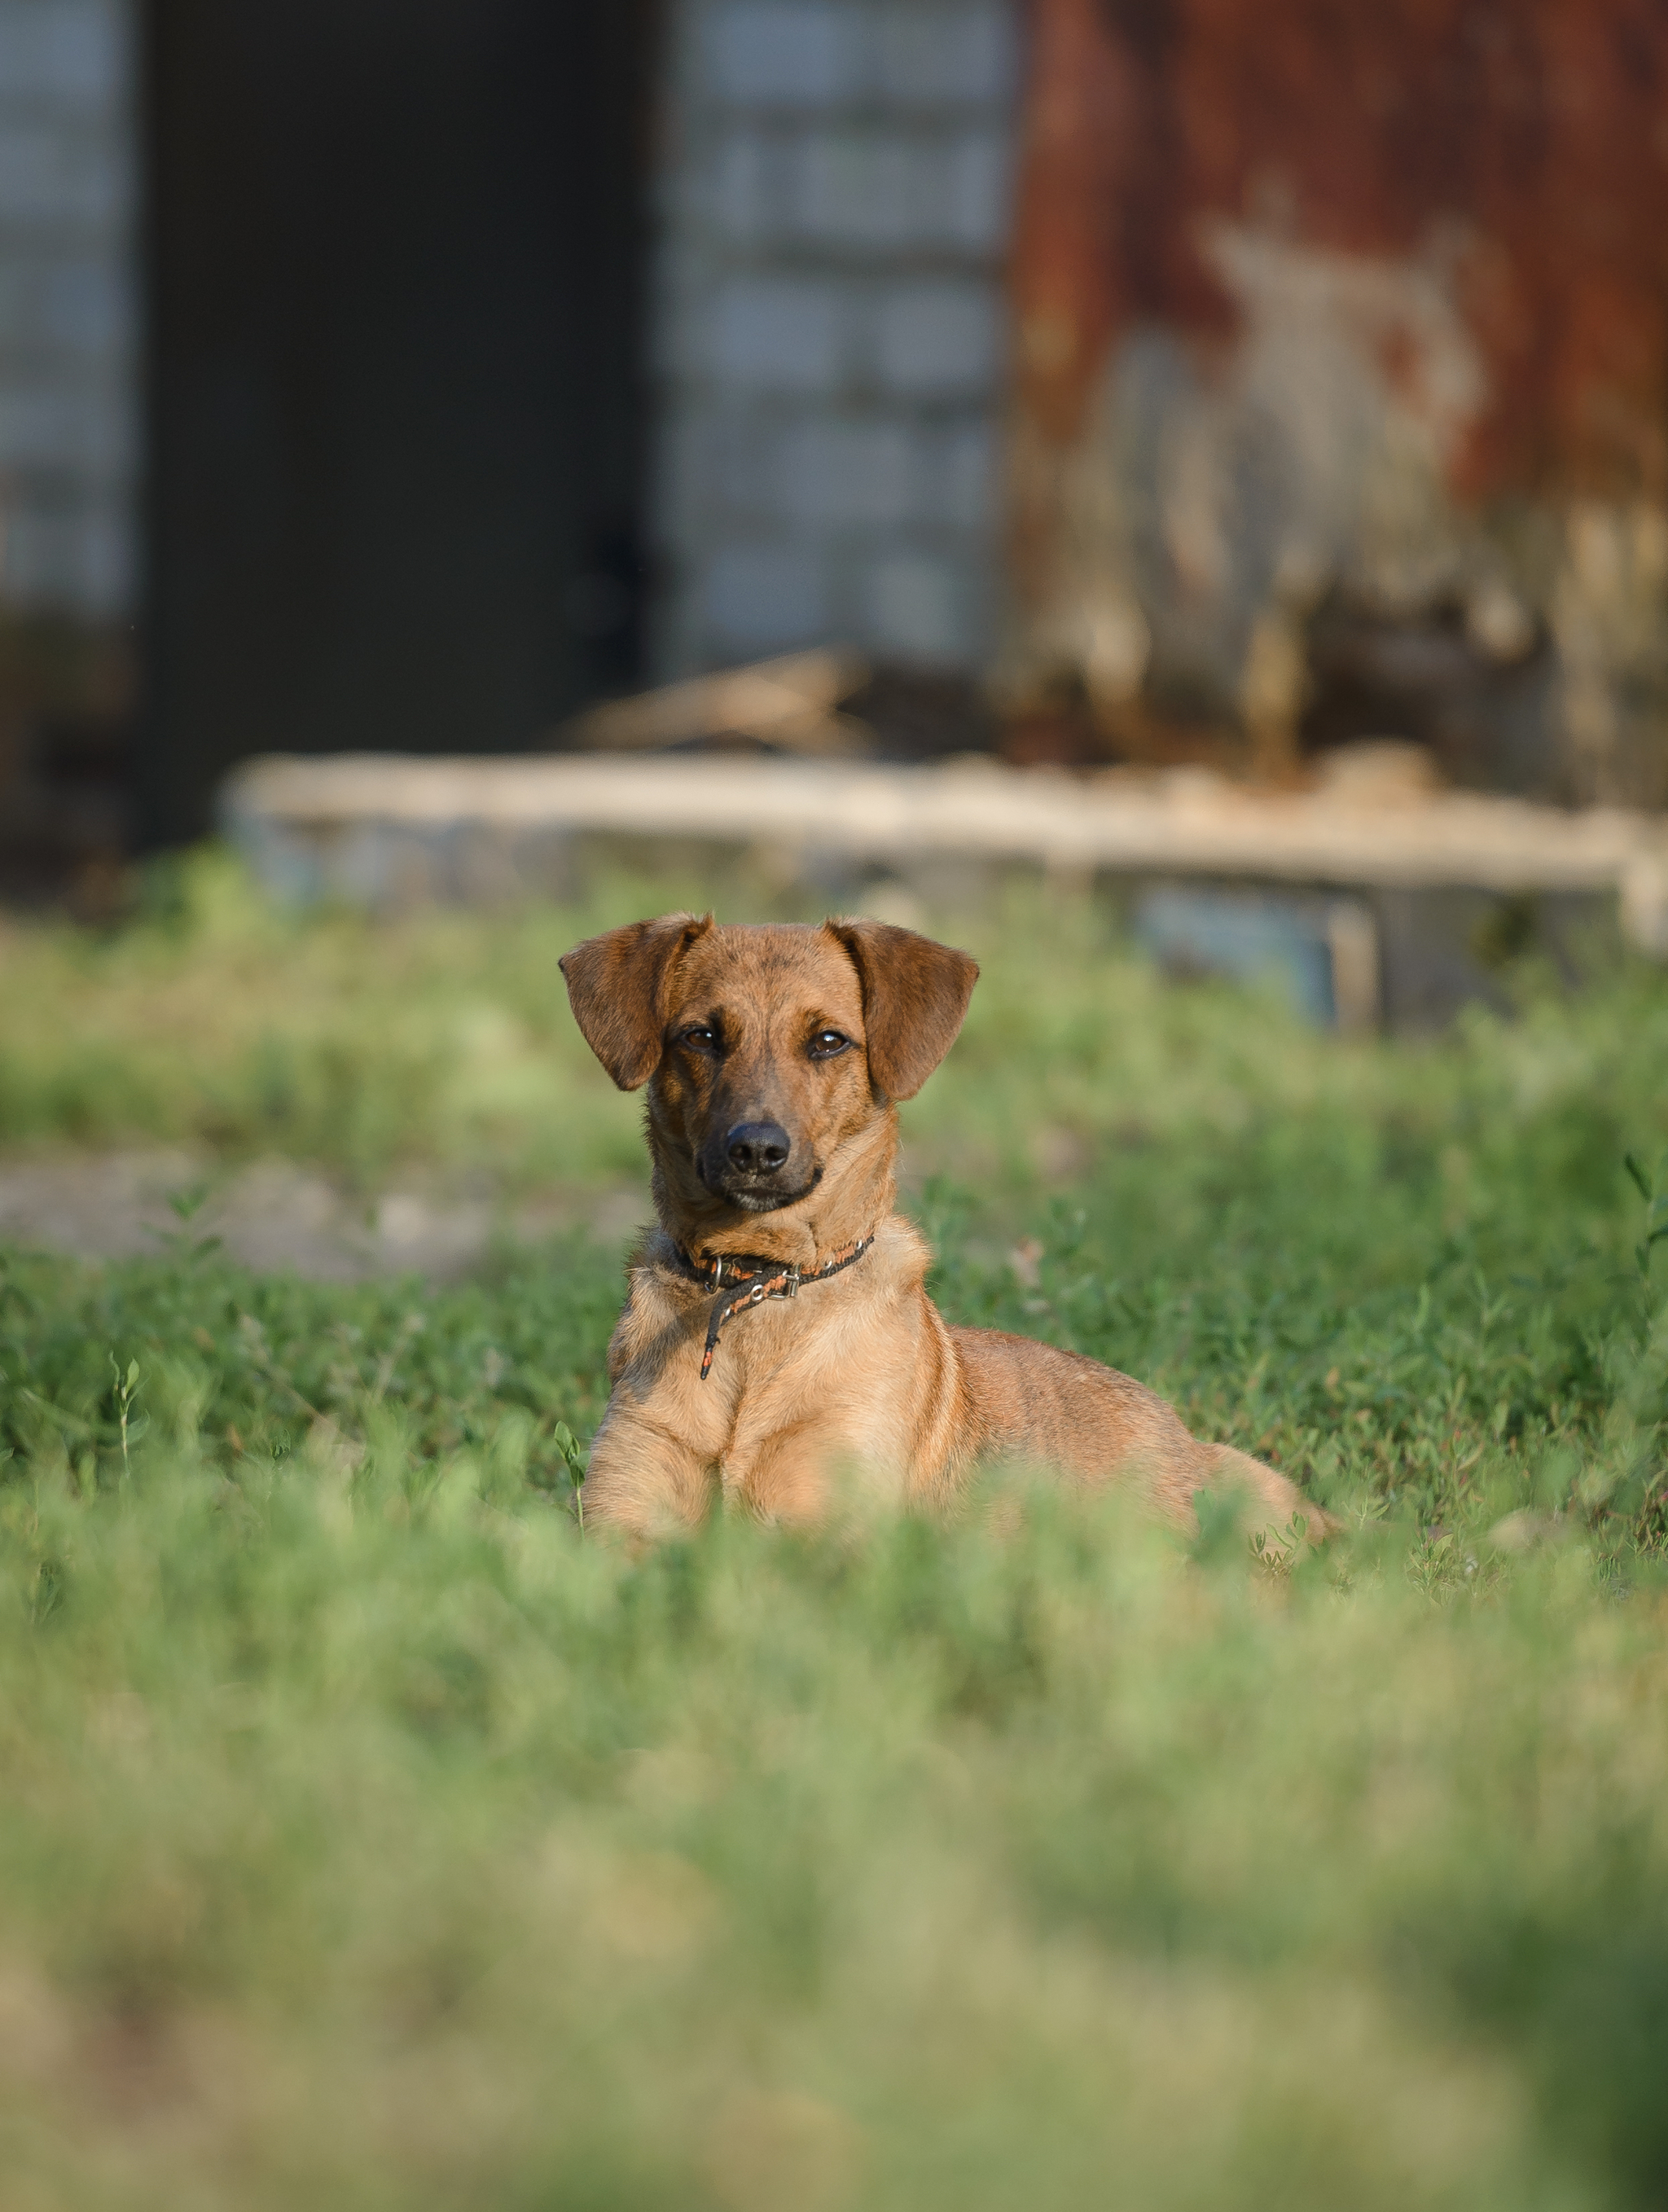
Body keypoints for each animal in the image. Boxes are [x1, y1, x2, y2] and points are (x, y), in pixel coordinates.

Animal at [560, 906, 1327, 1548]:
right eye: (701, 1036)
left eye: (829, 1041)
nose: (756, 1150)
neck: (757, 1287)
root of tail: (1193, 1443)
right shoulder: (620, 1525)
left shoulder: (829, 1532)